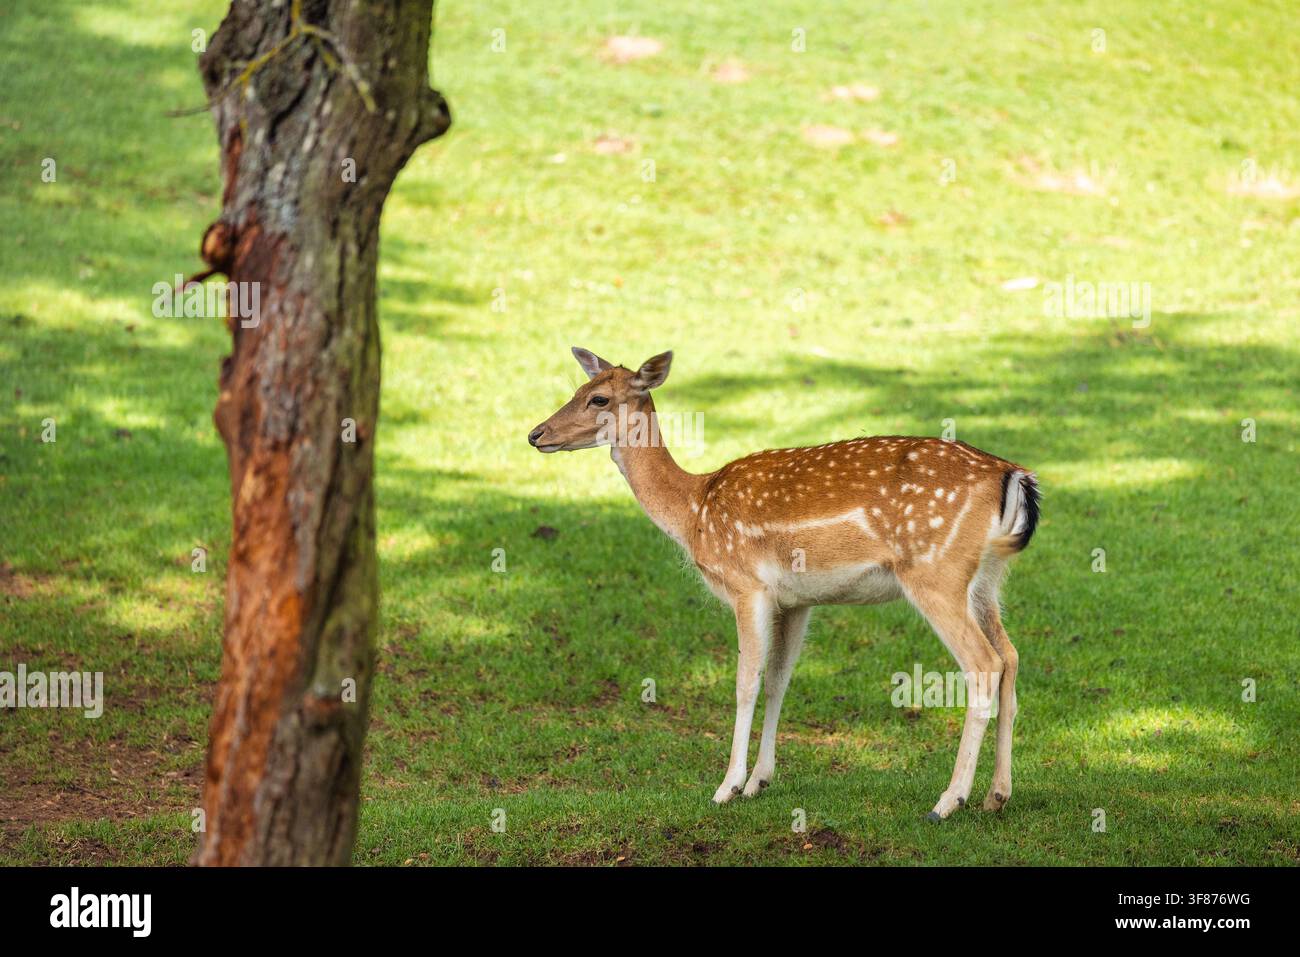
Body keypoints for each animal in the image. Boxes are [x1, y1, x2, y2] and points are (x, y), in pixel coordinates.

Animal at [527, 348, 1040, 820]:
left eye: (598, 398)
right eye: (578, 388)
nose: (536, 434)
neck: (694, 510)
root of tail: (1014, 477)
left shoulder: (746, 584)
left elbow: (745, 681)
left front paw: (727, 786)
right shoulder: (796, 601)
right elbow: (779, 680)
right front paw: (759, 781)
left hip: (936, 572)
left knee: (983, 664)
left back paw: (948, 801)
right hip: (985, 579)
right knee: (1011, 657)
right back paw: (997, 794)